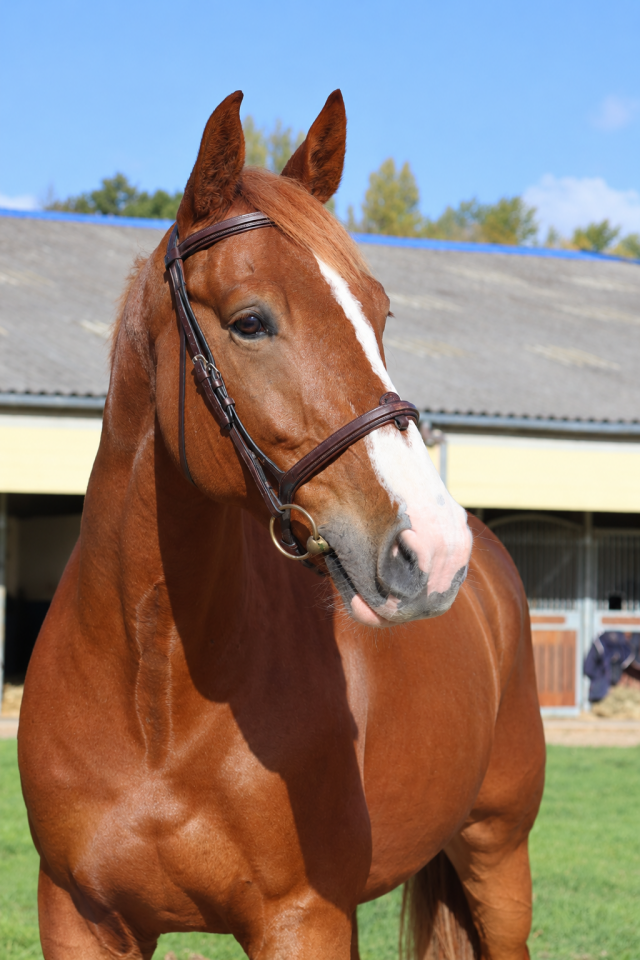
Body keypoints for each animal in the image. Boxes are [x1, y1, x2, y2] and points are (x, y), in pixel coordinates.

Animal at [19, 90, 545, 960]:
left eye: (380, 312)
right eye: (250, 322)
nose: (434, 550)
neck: (155, 701)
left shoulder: (305, 920)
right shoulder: (79, 917)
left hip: (498, 859)